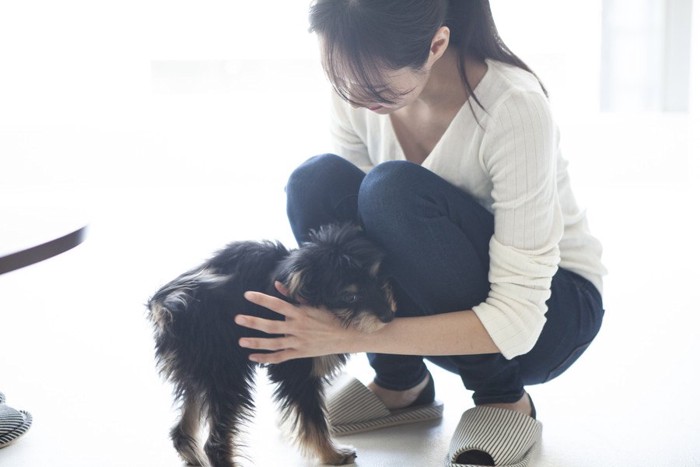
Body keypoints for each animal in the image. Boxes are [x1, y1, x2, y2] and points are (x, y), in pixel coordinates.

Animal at [145, 225, 396, 466]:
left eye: (377, 277)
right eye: (350, 297)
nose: (388, 316)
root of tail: (165, 306)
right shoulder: (296, 368)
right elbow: (314, 419)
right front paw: (331, 455)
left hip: (199, 373)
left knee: (182, 427)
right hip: (226, 374)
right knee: (214, 443)